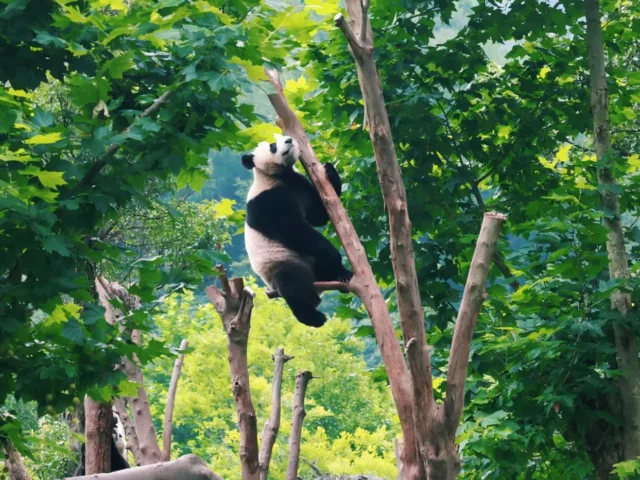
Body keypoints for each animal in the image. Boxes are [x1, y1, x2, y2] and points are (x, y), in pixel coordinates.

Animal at [242, 134, 352, 328]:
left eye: (281, 136)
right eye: (273, 145)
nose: (288, 139)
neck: (279, 175)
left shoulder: (299, 184)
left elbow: (318, 215)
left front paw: (329, 170)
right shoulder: (266, 202)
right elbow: (295, 230)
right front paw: (333, 255)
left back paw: (341, 275)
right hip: (279, 263)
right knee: (293, 283)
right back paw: (313, 317)